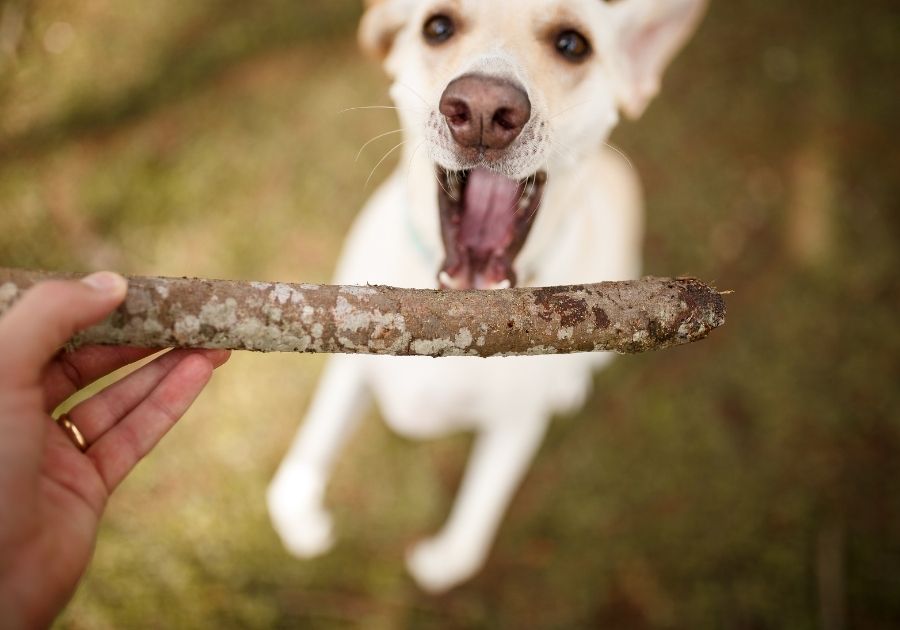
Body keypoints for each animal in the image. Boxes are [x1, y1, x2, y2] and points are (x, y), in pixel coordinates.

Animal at [266, 0, 704, 596]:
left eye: (573, 43)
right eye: (438, 27)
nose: (480, 108)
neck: (454, 329)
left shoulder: (516, 427)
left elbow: (465, 542)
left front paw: (437, 560)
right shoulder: (347, 362)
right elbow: (299, 471)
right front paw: (306, 518)